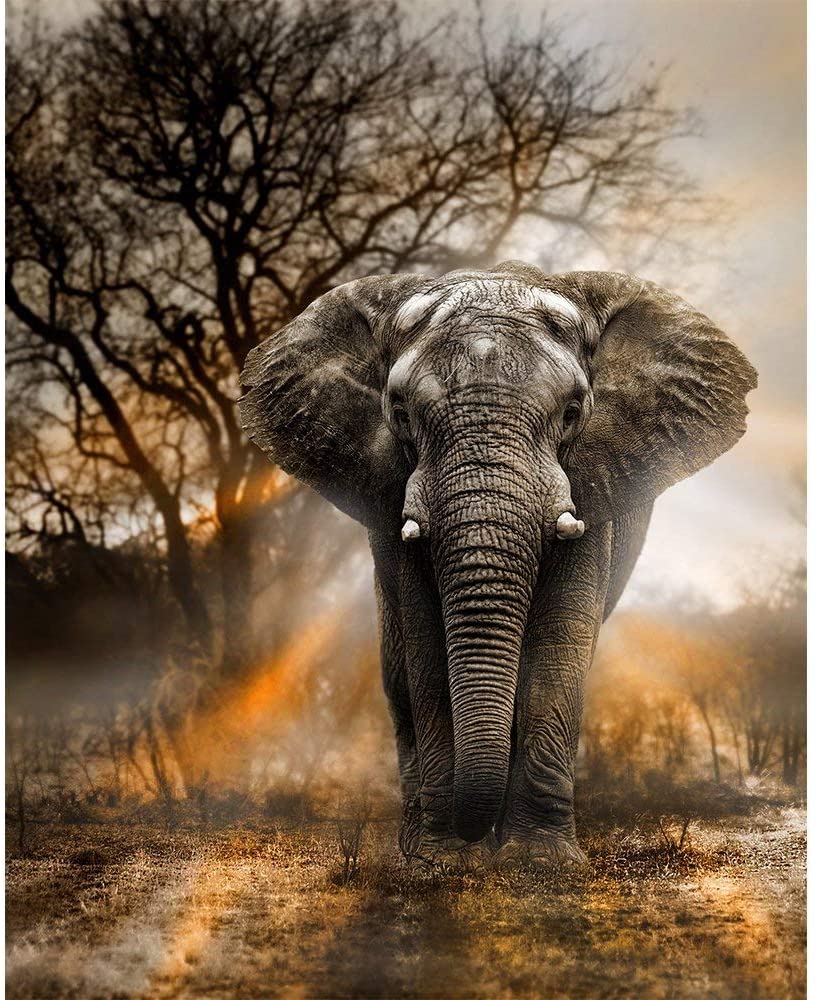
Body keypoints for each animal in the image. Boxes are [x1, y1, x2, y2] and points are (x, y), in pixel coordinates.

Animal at [238, 260, 756, 871]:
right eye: (399, 413)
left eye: (572, 413)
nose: (469, 836)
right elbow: (427, 649)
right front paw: (443, 862)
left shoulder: (590, 484)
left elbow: (559, 644)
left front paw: (540, 862)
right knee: (397, 675)